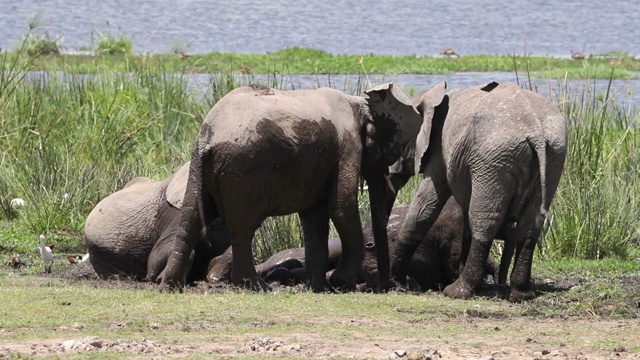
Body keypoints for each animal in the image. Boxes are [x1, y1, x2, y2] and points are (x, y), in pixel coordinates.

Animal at [159, 83, 444, 292]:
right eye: (382, 155)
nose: (385, 287)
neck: (360, 103)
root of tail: (208, 138)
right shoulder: (347, 146)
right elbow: (341, 206)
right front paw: (341, 283)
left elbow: (315, 217)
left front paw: (320, 288)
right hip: (241, 171)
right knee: (243, 229)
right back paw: (255, 286)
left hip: (199, 168)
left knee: (191, 220)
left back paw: (169, 286)